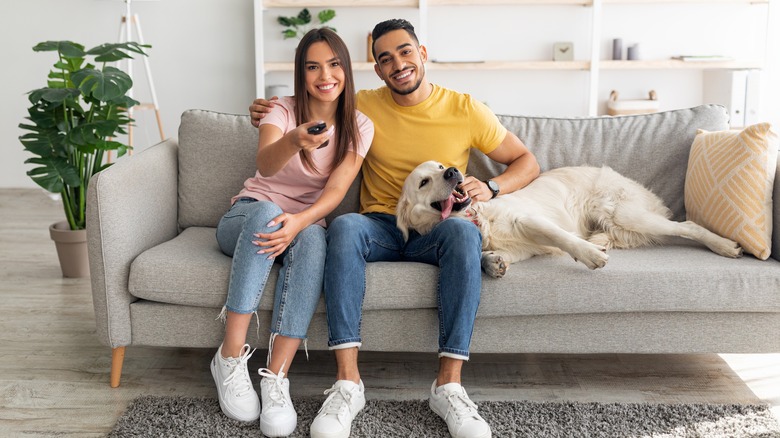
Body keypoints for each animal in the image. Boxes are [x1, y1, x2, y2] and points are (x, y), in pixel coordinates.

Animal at [396, 161, 744, 278]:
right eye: (424, 182)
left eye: (441, 167)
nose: (454, 172)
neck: (476, 219)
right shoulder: (522, 248)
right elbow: (489, 256)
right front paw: (493, 262)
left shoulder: (530, 221)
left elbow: (563, 238)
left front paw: (589, 255)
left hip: (625, 214)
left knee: (688, 226)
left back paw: (726, 246)